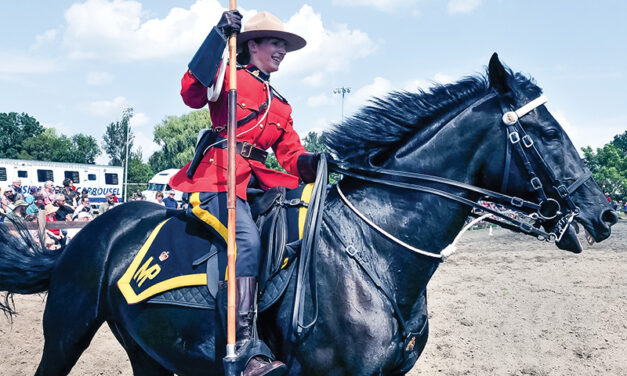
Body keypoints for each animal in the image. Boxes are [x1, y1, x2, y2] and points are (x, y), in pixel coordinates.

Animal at [0, 54, 620, 374]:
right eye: (546, 132)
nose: (604, 213)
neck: (379, 254)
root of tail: (95, 230)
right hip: (65, 336)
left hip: (152, 353)